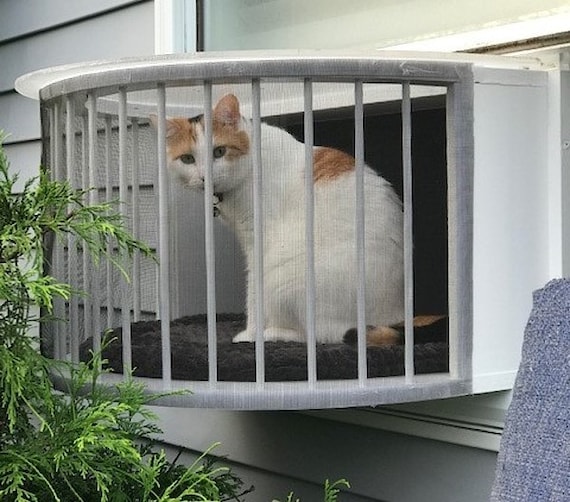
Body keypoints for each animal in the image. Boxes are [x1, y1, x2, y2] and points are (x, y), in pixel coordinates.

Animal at [154, 94, 404, 346]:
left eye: (219, 152)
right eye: (187, 159)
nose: (205, 177)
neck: (251, 164)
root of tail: (397, 314)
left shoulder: (258, 244)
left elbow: (254, 293)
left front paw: (250, 335)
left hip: (285, 277)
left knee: (322, 334)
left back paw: (271, 333)